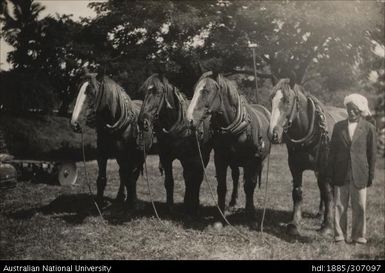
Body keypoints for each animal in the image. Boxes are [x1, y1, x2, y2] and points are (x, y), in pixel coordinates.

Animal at [70, 71, 144, 207]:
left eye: (92, 93)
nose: (74, 123)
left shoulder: (126, 156)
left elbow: (129, 178)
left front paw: (132, 202)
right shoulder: (102, 154)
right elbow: (102, 179)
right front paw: (100, 202)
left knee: (132, 174)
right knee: (123, 174)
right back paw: (120, 197)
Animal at [137, 74, 240, 215]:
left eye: (157, 93)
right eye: (143, 93)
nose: (142, 121)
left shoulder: (191, 157)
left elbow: (192, 179)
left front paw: (192, 206)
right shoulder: (166, 157)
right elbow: (170, 182)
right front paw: (171, 207)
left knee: (232, 175)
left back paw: (232, 203)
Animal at [186, 71, 270, 226]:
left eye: (206, 91)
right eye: (194, 90)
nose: (189, 120)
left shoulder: (252, 160)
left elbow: (250, 186)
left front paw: (250, 214)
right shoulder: (221, 159)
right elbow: (222, 187)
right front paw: (220, 217)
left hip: (257, 161)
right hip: (234, 162)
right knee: (236, 177)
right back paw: (232, 203)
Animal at [268, 77, 346, 235]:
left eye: (287, 100)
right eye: (271, 100)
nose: (273, 134)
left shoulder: (324, 169)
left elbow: (328, 193)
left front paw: (327, 226)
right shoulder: (295, 166)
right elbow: (298, 192)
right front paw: (294, 223)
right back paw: (320, 214)